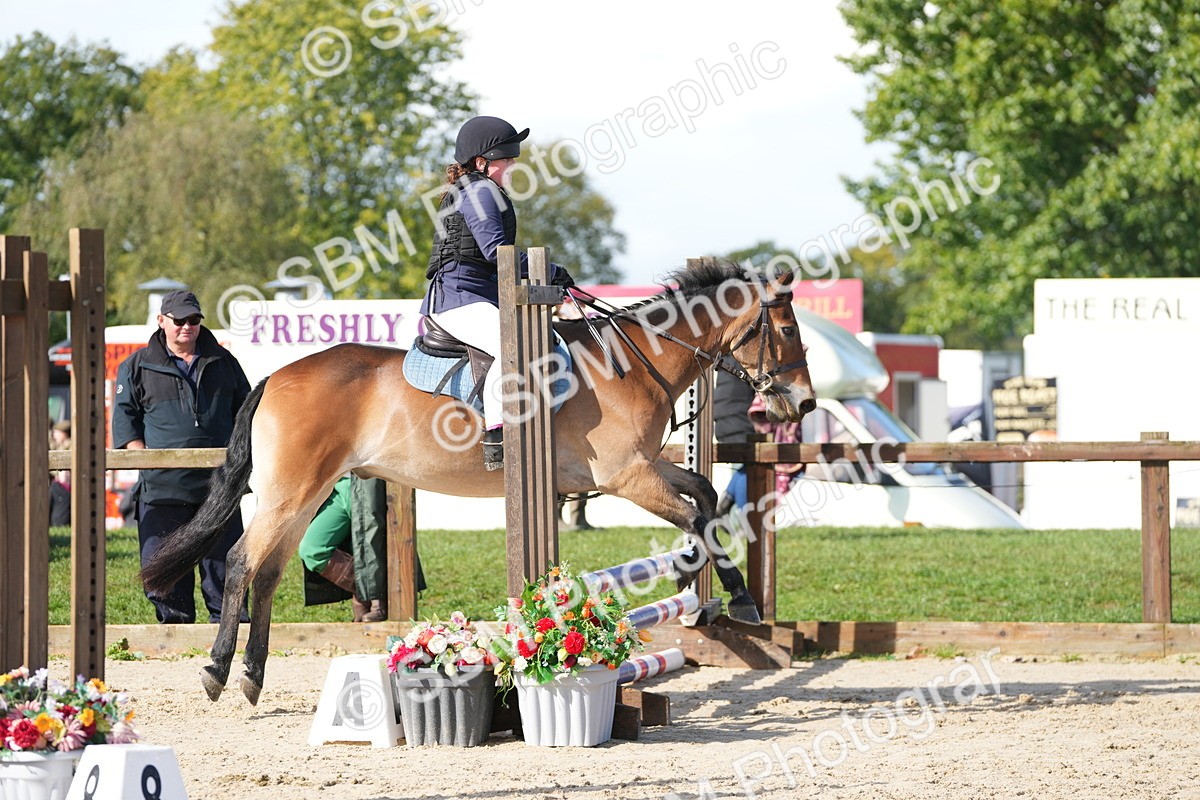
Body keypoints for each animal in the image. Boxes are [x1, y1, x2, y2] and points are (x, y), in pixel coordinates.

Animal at [141, 260, 816, 704]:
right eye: (785, 330)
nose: (804, 404)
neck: (633, 360)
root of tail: (275, 377)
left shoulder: (641, 470)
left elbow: (704, 496)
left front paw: (693, 586)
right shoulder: (626, 475)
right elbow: (698, 515)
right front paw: (738, 598)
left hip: (304, 495)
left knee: (268, 572)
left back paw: (253, 676)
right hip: (290, 491)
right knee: (240, 561)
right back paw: (218, 672)